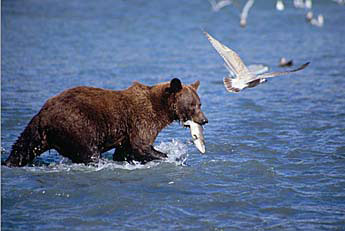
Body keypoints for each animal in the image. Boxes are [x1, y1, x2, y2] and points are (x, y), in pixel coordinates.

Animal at [4, 78, 207, 167]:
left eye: (200, 103)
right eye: (193, 105)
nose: (204, 120)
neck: (160, 108)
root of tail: (44, 114)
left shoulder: (127, 133)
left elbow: (125, 151)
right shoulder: (141, 120)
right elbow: (140, 145)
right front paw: (170, 156)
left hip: (38, 132)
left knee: (23, 146)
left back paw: (9, 162)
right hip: (76, 124)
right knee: (88, 152)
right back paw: (98, 161)